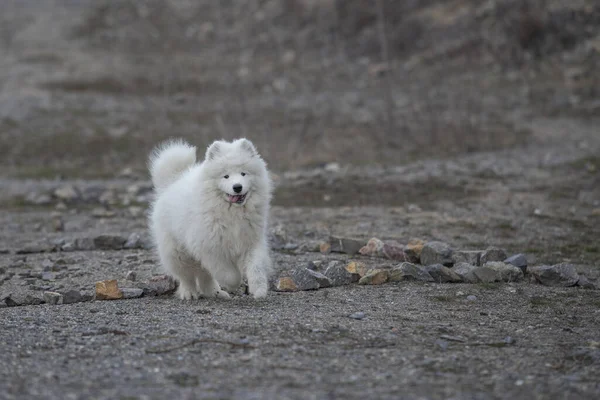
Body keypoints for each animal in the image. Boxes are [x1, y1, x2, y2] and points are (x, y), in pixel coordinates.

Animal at [149, 139, 274, 298]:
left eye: (243, 173)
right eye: (226, 176)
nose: (237, 187)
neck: (232, 213)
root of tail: (172, 181)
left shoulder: (251, 240)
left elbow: (256, 266)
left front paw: (259, 289)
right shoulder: (210, 248)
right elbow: (228, 274)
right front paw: (235, 283)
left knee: (204, 276)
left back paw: (215, 292)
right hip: (177, 253)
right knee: (186, 276)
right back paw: (189, 293)